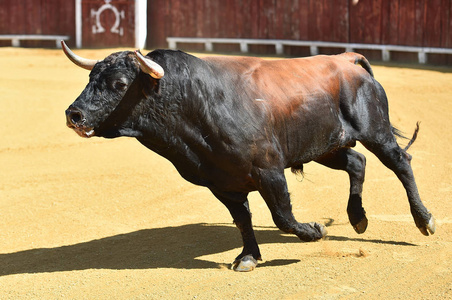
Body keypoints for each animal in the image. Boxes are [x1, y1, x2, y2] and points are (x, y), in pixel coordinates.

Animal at [61, 41, 436, 274]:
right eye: (90, 77)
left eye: (120, 83)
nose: (74, 115)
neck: (193, 102)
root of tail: (345, 59)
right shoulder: (222, 183)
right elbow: (242, 219)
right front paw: (248, 258)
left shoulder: (268, 170)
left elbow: (283, 216)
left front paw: (314, 231)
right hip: (325, 147)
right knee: (357, 163)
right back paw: (358, 218)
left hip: (375, 131)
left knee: (400, 163)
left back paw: (424, 220)